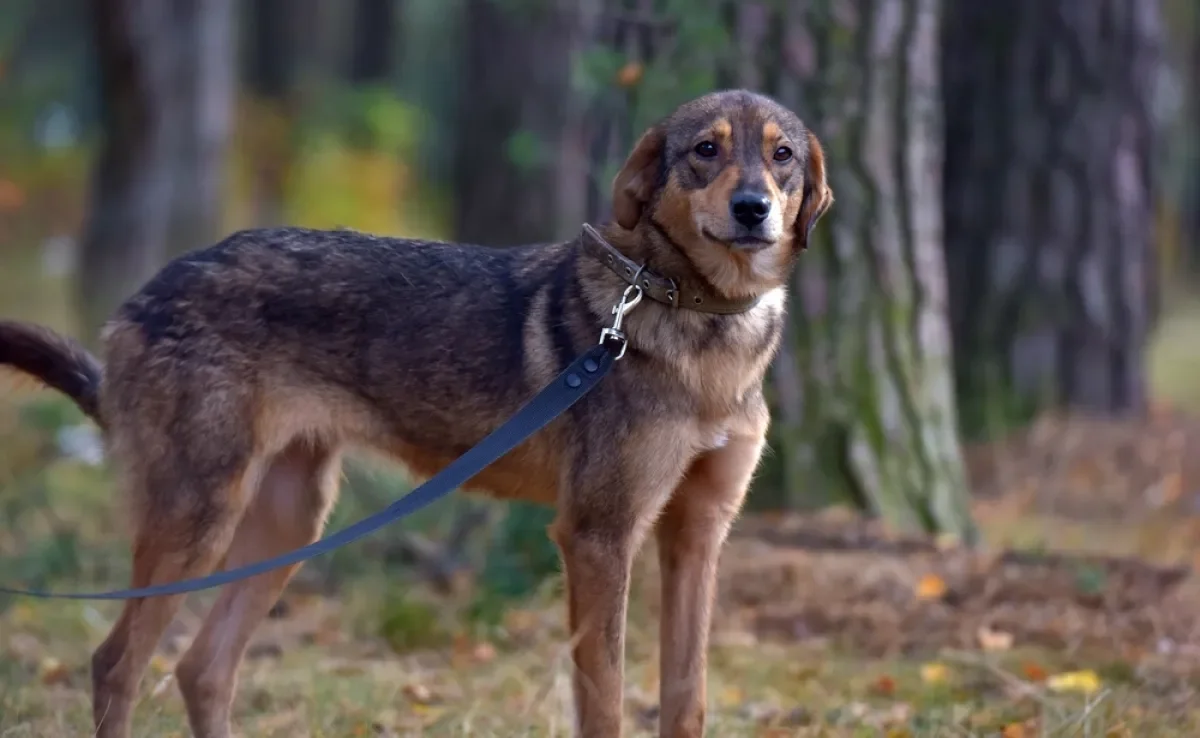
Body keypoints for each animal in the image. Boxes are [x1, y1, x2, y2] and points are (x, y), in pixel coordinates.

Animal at [0, 88, 830, 738]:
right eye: (704, 151)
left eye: (783, 155)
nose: (752, 208)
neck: (700, 323)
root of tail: (141, 297)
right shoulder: (599, 536)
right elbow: (605, 702)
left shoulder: (696, 537)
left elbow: (686, 701)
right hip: (199, 520)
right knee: (115, 665)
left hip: (291, 523)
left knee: (202, 670)